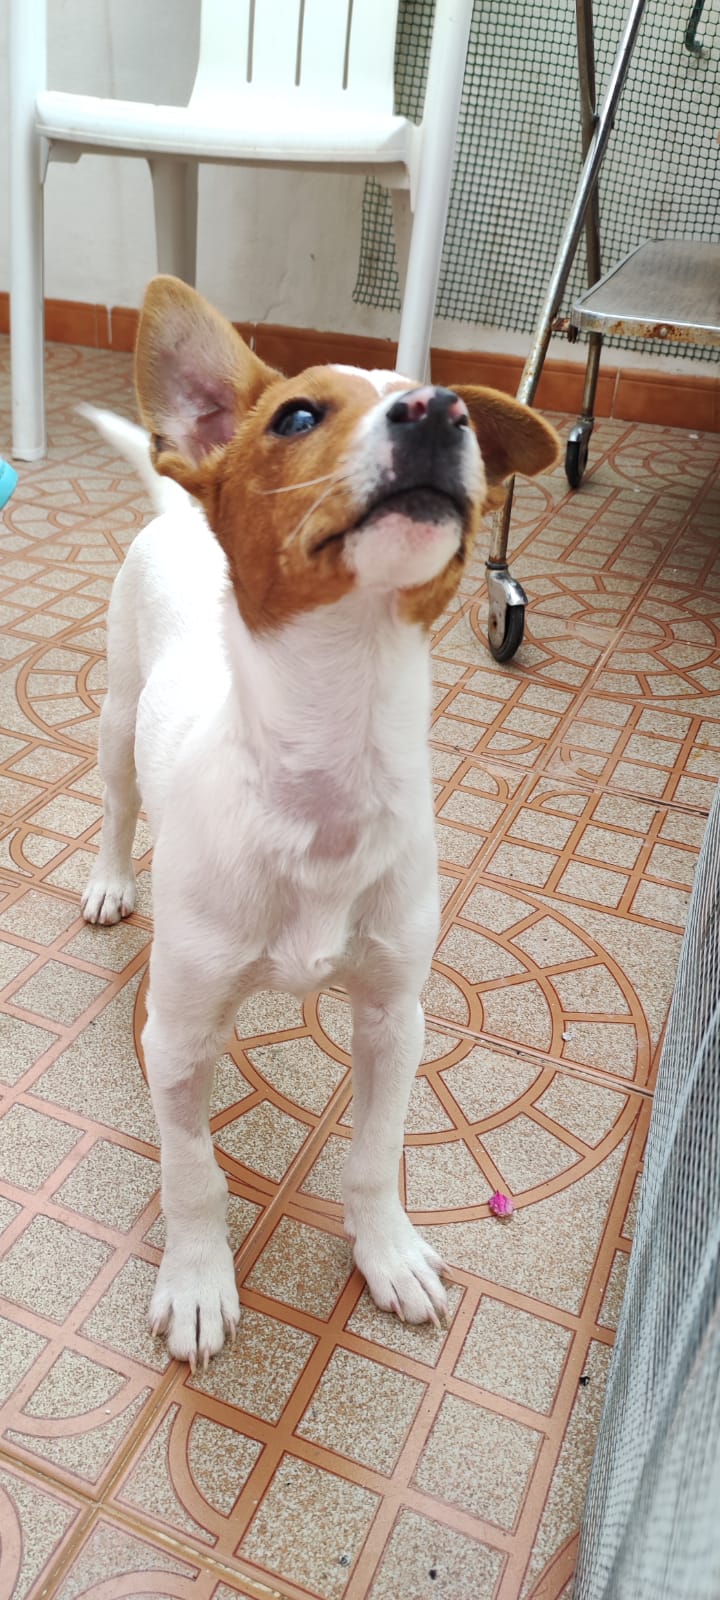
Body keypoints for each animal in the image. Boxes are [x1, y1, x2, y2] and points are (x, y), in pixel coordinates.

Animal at [81, 276, 559, 1366]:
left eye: (454, 404)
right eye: (297, 416)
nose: (440, 410)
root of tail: (180, 510)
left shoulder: (395, 1015)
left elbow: (376, 1154)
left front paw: (386, 1252)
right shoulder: (175, 1035)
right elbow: (193, 1174)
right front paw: (198, 1280)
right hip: (120, 715)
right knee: (118, 807)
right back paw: (110, 880)